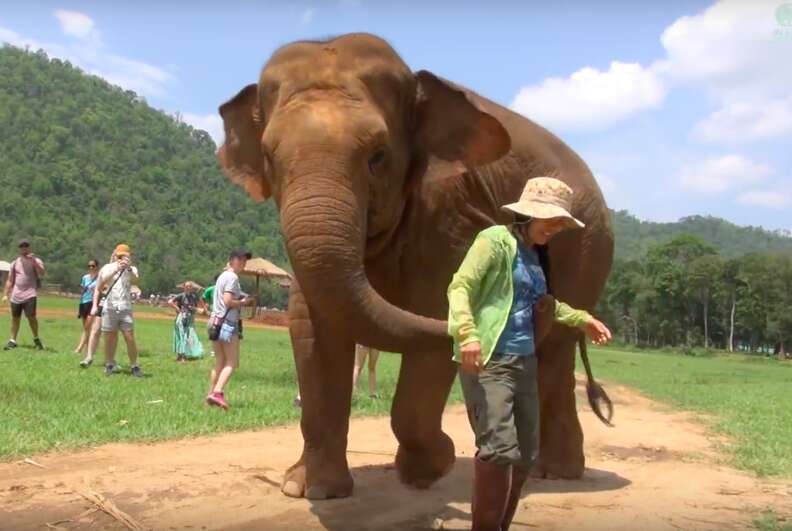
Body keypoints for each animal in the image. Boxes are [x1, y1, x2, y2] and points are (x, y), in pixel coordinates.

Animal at [220, 32, 616, 498]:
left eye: (378, 156)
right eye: (269, 157)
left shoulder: (451, 212)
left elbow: (437, 309)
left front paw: (429, 470)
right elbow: (312, 327)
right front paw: (310, 489)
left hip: (588, 246)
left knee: (555, 353)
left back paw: (554, 473)